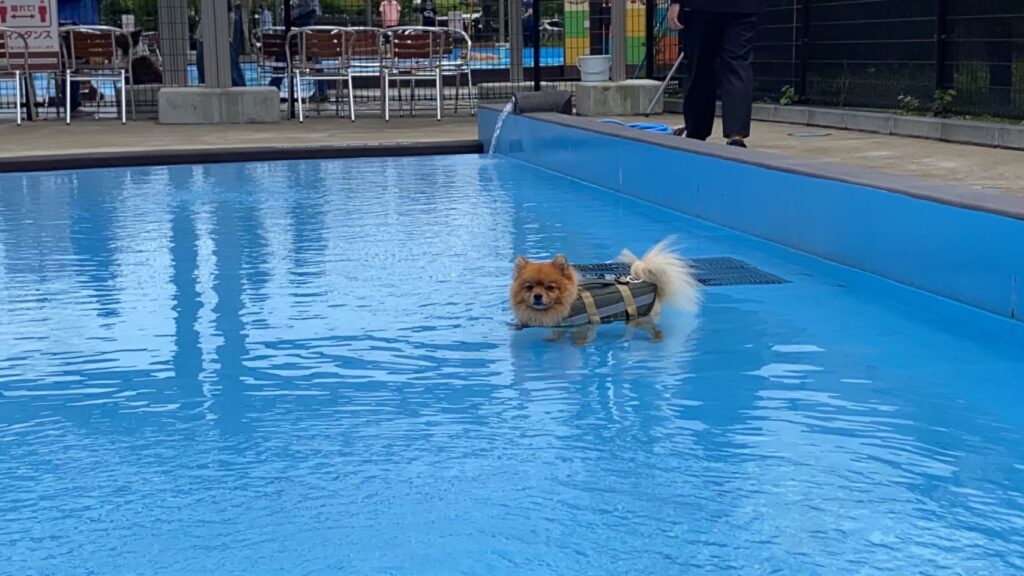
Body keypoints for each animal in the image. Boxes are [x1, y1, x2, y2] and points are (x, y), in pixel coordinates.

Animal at [509, 236, 700, 342]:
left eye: (550, 287)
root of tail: (655, 284)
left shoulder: (577, 327)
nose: (537, 296)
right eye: (529, 287)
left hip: (643, 319)